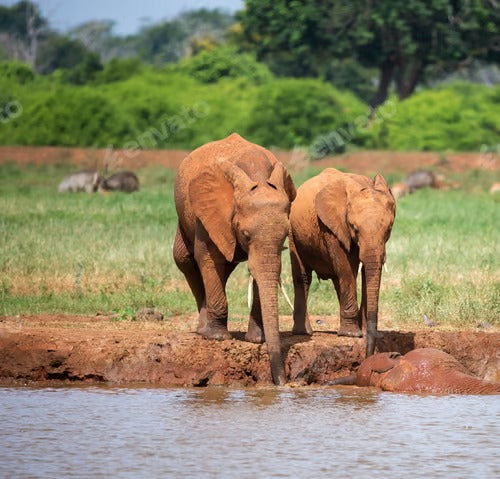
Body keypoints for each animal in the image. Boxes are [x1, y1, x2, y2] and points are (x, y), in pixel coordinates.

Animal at [173, 133, 294, 388]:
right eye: (246, 235)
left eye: (285, 237)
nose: (281, 383)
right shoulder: (210, 212)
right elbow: (208, 257)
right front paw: (218, 338)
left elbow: (258, 272)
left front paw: (257, 340)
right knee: (185, 260)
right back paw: (203, 329)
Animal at [288, 167, 396, 358]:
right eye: (355, 228)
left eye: (389, 229)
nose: (368, 356)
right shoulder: (331, 226)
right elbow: (346, 268)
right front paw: (351, 335)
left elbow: (365, 272)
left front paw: (363, 333)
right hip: (293, 231)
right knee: (303, 277)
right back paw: (304, 333)